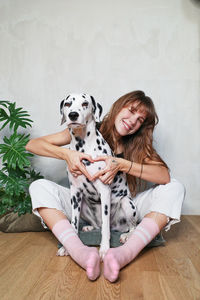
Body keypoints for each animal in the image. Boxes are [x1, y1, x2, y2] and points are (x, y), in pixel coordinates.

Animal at [57, 93, 137, 258]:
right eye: (67, 104)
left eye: (85, 103)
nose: (73, 115)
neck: (82, 146)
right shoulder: (75, 192)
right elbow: (73, 223)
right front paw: (68, 247)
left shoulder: (104, 190)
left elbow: (105, 227)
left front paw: (104, 248)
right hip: (83, 205)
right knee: (98, 225)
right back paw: (90, 227)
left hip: (126, 202)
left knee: (131, 227)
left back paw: (126, 235)